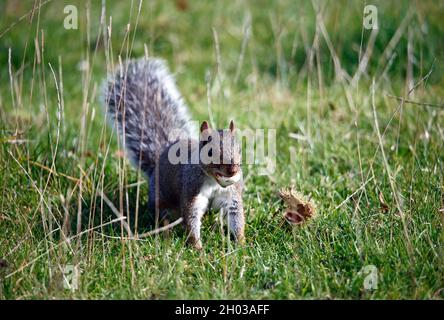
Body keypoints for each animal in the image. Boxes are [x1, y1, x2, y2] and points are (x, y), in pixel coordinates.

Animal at [103, 57, 245, 249]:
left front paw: (242, 244)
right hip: (161, 201)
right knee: (163, 217)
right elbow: (191, 217)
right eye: (210, 152)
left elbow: (236, 215)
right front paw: (197, 247)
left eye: (239, 149)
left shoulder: (231, 194)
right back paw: (167, 232)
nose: (233, 170)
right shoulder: (191, 191)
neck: (213, 182)